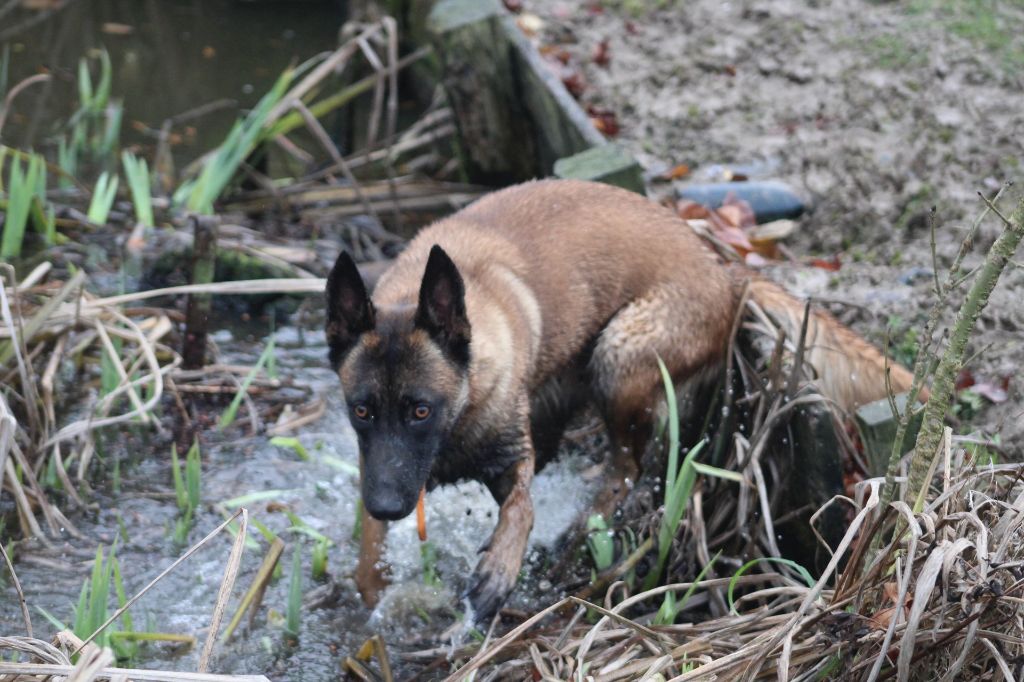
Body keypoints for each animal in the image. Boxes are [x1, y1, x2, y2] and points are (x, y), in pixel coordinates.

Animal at [323, 176, 917, 622]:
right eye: (361, 411)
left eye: (421, 411)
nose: (389, 504)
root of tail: (728, 273)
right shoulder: (377, 466)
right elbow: (369, 552)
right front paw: (371, 590)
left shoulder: (510, 457)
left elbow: (521, 511)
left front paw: (499, 571)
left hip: (619, 357)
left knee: (627, 467)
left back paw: (585, 523)